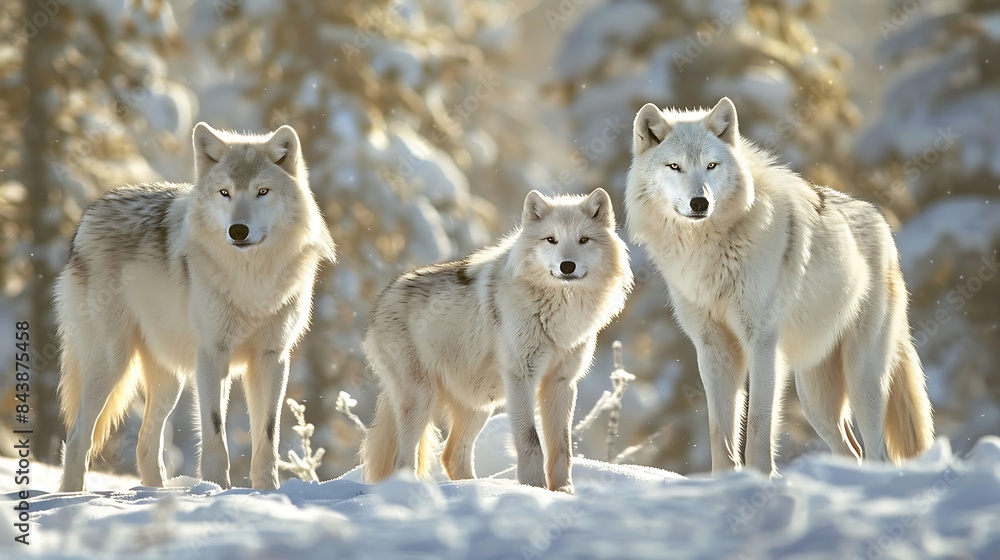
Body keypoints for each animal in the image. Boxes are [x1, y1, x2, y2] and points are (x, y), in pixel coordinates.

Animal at [56, 123, 335, 492]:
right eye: (224, 192)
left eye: (262, 191)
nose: (238, 231)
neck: (251, 281)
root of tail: (90, 213)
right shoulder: (212, 353)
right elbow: (215, 428)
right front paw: (217, 489)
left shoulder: (272, 357)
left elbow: (267, 432)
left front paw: (268, 491)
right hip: (111, 363)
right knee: (77, 438)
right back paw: (72, 496)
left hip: (168, 380)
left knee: (145, 443)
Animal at [360, 188, 632, 493]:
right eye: (551, 239)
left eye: (584, 240)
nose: (567, 266)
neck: (559, 312)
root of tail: (384, 298)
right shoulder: (520, 377)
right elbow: (531, 441)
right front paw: (534, 489)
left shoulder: (561, 383)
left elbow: (563, 447)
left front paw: (563, 491)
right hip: (421, 400)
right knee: (404, 460)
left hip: (478, 404)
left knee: (451, 455)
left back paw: (471, 489)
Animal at [625, 97, 933, 476]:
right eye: (675, 166)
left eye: (711, 165)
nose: (700, 203)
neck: (707, 251)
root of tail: (883, 224)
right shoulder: (713, 348)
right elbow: (719, 432)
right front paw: (725, 481)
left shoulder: (762, 344)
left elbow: (758, 427)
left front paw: (758, 479)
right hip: (815, 394)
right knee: (852, 449)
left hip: (861, 376)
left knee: (879, 453)